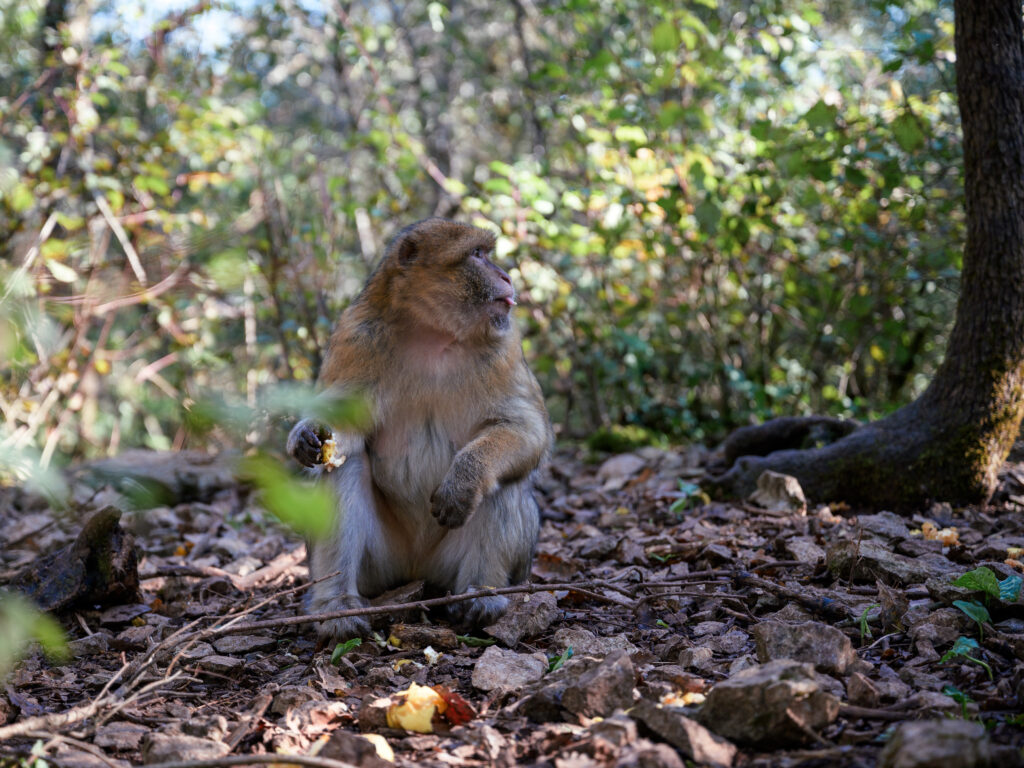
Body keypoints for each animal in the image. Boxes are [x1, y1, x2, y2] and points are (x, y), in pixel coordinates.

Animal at [284, 218, 552, 643]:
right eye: (478, 255)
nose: (507, 277)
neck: (433, 332)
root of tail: (417, 569)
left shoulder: (505, 344)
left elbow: (523, 428)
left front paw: (465, 478)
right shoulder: (356, 337)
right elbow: (346, 432)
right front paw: (307, 434)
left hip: (455, 566)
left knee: (502, 481)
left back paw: (481, 595)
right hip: (383, 567)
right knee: (345, 468)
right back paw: (336, 606)